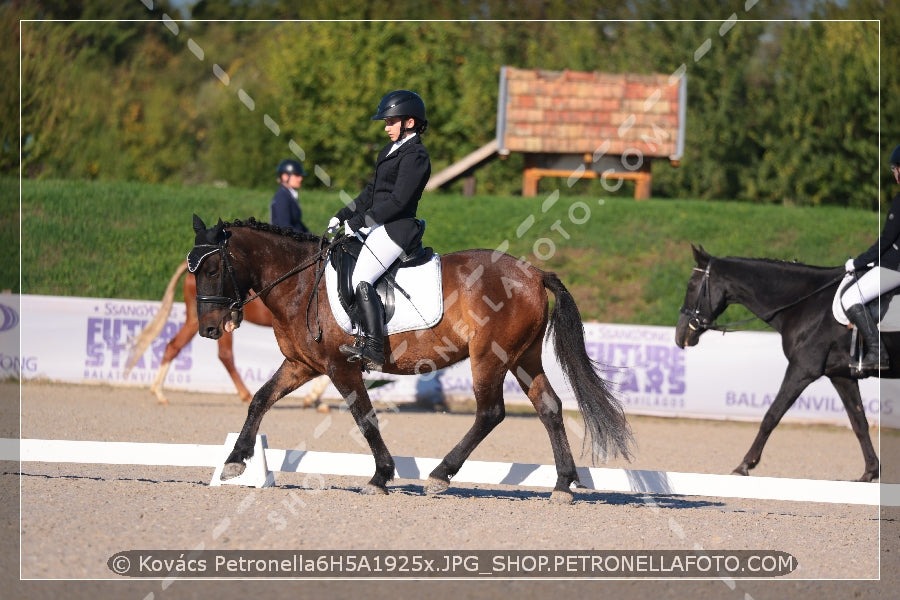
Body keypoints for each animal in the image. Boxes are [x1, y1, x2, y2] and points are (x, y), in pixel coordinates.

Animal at [121, 260, 328, 410]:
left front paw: (316, 400)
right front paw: (314, 398)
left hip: (197, 321)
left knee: (174, 346)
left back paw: (159, 392)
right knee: (225, 355)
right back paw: (245, 395)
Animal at [188, 216, 632, 502]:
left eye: (212, 268)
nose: (208, 329)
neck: (299, 283)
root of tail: (534, 273)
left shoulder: (340, 366)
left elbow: (365, 418)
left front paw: (380, 476)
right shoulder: (302, 365)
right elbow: (260, 399)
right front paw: (234, 462)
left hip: (490, 357)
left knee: (490, 412)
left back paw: (439, 476)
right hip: (524, 357)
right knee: (549, 407)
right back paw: (562, 485)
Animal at [676, 245, 884, 482]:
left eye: (691, 286)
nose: (680, 336)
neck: (807, 303)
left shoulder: (802, 369)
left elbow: (772, 415)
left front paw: (744, 465)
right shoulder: (841, 375)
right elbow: (859, 422)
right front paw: (869, 472)